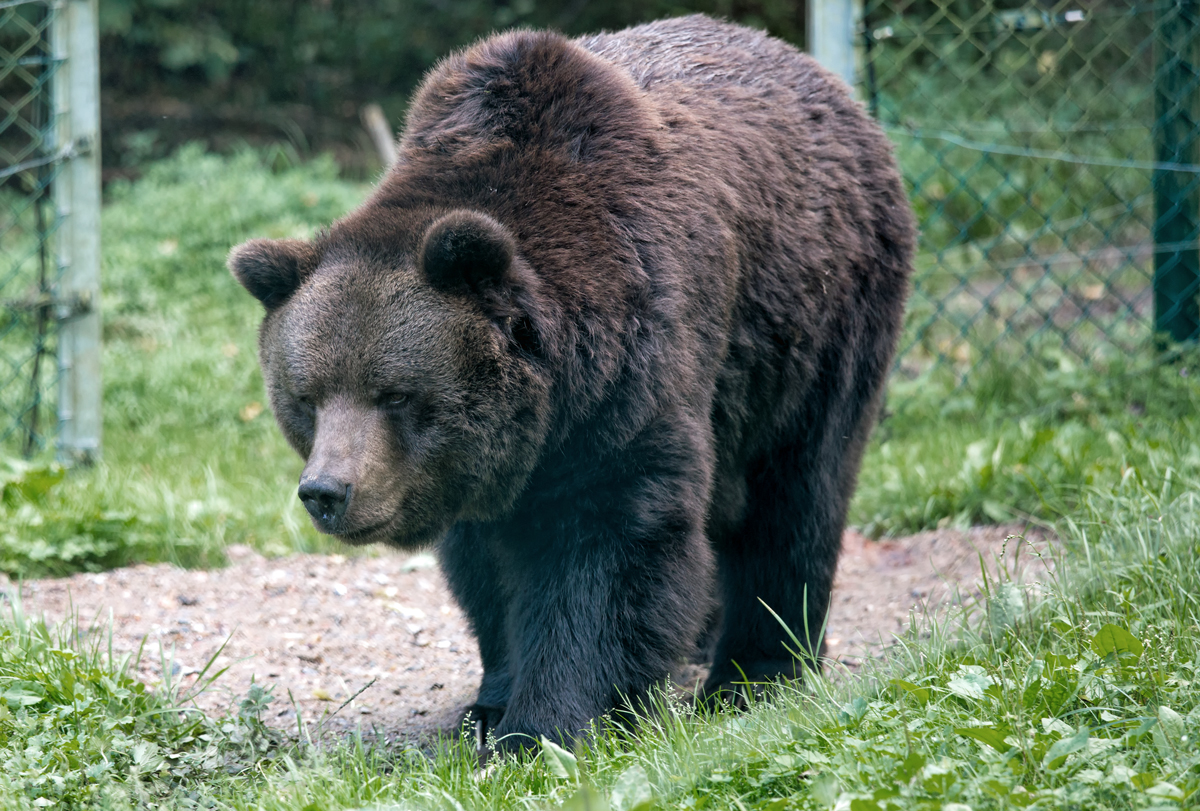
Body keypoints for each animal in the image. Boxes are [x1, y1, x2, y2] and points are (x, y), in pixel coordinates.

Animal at [229, 12, 912, 758]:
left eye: (396, 395)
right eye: (307, 398)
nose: (327, 490)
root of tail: (829, 85)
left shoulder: (629, 378)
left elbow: (609, 551)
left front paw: (544, 724)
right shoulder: (470, 471)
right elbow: (488, 572)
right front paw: (490, 705)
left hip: (816, 323)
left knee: (795, 494)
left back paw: (757, 672)